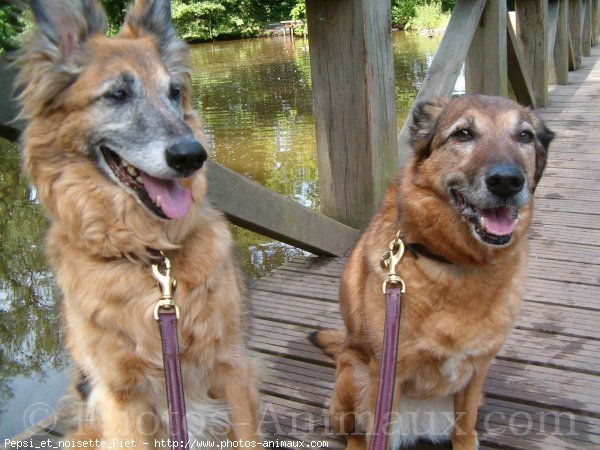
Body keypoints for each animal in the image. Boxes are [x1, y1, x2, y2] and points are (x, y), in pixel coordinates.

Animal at [16, 0, 258, 442]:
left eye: (174, 92)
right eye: (117, 94)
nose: (192, 156)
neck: (150, 253)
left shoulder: (232, 367)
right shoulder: (121, 396)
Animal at [312, 96, 556, 450]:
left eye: (524, 136)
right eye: (463, 134)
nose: (507, 181)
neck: (457, 262)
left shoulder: (476, 374)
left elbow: (465, 431)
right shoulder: (388, 374)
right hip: (352, 378)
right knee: (357, 433)